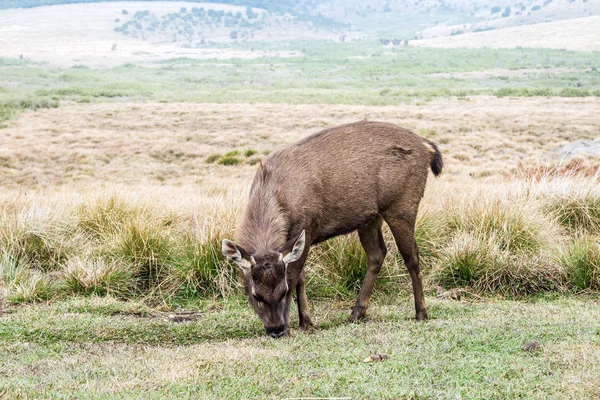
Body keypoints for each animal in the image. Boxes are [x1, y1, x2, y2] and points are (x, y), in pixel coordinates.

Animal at [220, 119, 440, 338]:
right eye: (255, 295)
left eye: (282, 292)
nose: (276, 329)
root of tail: (426, 146)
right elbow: (301, 277)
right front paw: (306, 322)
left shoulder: (306, 226)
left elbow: (294, 276)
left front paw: (294, 325)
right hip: (370, 217)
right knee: (377, 254)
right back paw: (356, 313)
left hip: (402, 204)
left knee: (411, 255)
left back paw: (421, 312)